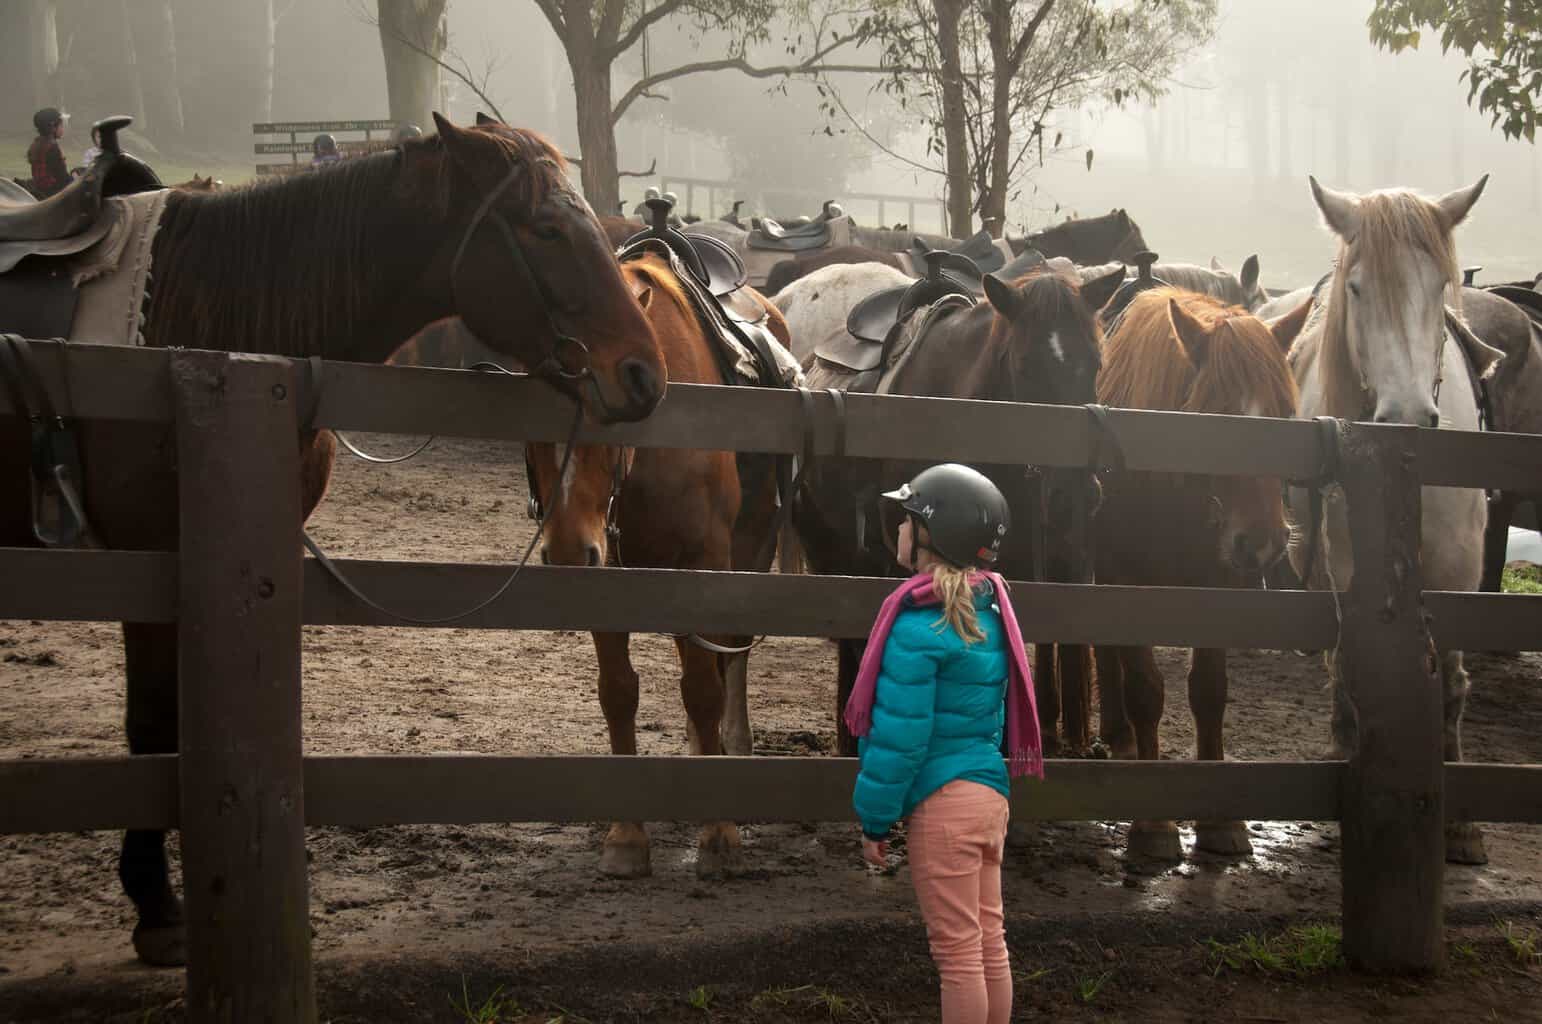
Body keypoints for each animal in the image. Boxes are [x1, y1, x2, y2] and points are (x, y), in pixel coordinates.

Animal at [1, 114, 663, 968]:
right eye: (546, 228)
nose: (644, 375)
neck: (203, 327)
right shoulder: (148, 562)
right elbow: (150, 727)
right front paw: (155, 906)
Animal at [524, 249, 789, 882]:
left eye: (614, 410)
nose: (567, 554)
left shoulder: (704, 565)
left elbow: (704, 689)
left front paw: (719, 832)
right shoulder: (613, 576)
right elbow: (619, 692)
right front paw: (626, 836)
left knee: (729, 659)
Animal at [1091, 283, 1307, 857]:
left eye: (1286, 413)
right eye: (1215, 415)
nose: (1262, 542)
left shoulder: (1223, 586)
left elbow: (1209, 690)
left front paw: (1220, 821)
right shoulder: (1125, 583)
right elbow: (1146, 690)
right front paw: (1154, 825)